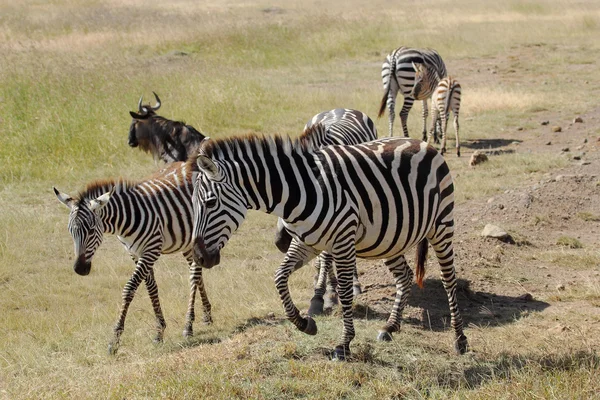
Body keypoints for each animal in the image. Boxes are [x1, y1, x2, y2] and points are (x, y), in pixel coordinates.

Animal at [52, 161, 211, 354]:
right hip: (187, 241)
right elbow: (151, 288)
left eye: (90, 230)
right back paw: (206, 314)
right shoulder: (135, 253)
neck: (125, 220)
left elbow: (129, 289)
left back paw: (188, 325)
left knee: (194, 275)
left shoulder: (151, 250)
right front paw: (159, 331)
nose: (79, 269)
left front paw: (115, 340)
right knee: (196, 271)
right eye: (70, 231)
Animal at [191, 134, 468, 360]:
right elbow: (279, 277)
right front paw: (305, 324)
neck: (300, 192)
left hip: (442, 225)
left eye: (210, 202)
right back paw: (390, 327)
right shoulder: (305, 243)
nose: (199, 257)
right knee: (405, 276)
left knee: (449, 280)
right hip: (390, 238)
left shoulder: (343, 240)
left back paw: (459, 339)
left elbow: (344, 292)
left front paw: (344, 345)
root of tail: (422, 142)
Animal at [274, 108, 378, 314]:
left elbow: (327, 257)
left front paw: (321, 296)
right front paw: (326, 288)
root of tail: (342, 108)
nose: (281, 242)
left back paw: (353, 282)